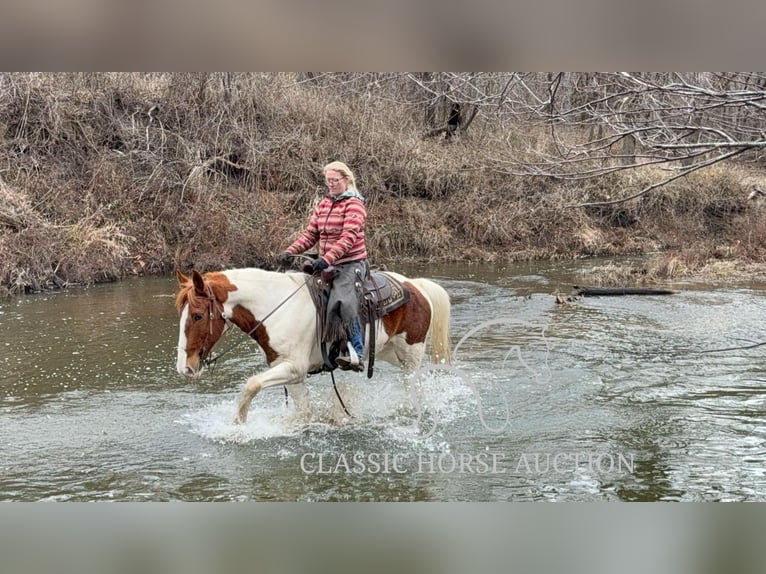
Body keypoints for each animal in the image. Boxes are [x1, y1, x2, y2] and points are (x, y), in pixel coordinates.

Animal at [176, 268, 450, 426]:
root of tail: (416, 285)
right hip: (388, 351)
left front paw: (239, 425)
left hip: (410, 355)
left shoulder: (293, 367)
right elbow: (302, 410)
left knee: (413, 387)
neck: (277, 306)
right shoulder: (290, 373)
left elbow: (251, 384)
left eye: (198, 316)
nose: (184, 368)